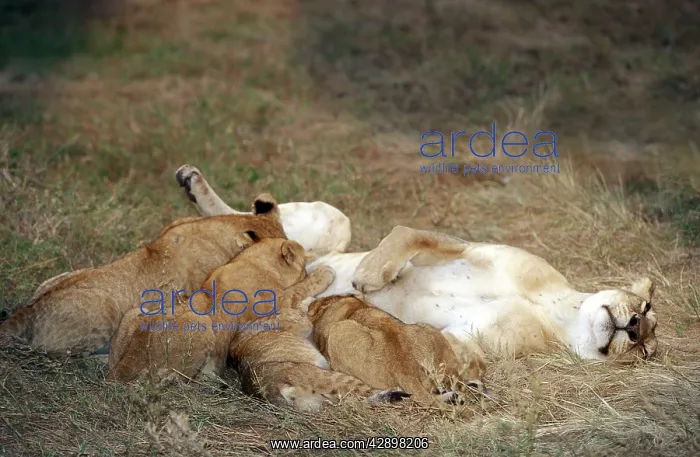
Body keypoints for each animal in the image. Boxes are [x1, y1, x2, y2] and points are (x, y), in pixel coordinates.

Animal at [175, 166, 659, 364]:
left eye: (646, 352)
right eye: (647, 307)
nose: (636, 328)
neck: (554, 311)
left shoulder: (465, 339)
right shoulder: (468, 247)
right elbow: (407, 232)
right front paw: (369, 275)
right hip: (333, 220)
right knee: (257, 220)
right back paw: (195, 185)